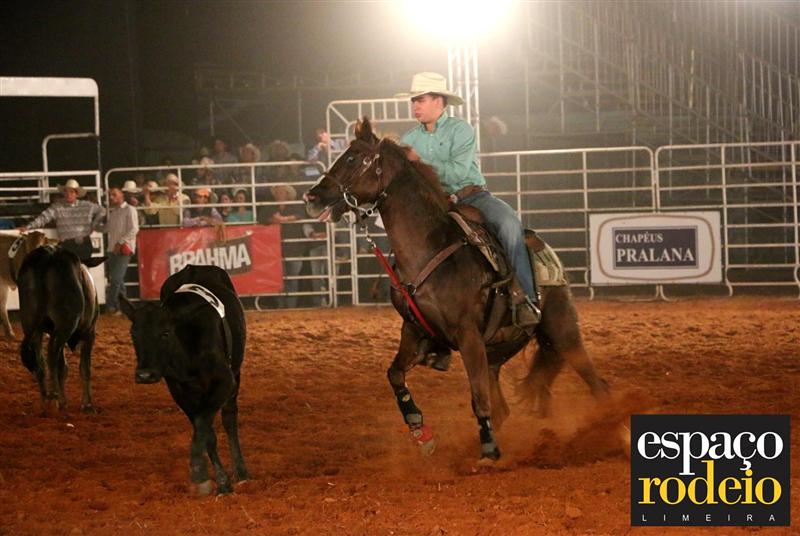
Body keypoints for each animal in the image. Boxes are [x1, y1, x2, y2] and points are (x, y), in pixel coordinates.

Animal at [17, 243, 105, 413]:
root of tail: (47, 256)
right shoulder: (89, 333)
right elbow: (84, 368)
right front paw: (87, 404)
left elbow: (63, 368)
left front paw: (64, 402)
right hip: (65, 324)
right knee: (51, 353)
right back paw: (54, 394)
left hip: (32, 326)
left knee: (40, 359)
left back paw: (45, 401)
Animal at [120, 264, 249, 496]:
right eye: (133, 334)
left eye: (165, 332)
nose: (144, 374)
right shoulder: (180, 392)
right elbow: (204, 431)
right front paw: (220, 481)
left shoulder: (224, 382)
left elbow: (204, 425)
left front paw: (198, 471)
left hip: (235, 374)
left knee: (229, 418)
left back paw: (241, 471)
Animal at [304, 117, 614, 463]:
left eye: (352, 158)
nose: (312, 197)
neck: (428, 248)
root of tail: (548, 253)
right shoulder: (414, 331)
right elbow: (395, 374)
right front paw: (419, 430)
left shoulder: (467, 334)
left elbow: (478, 397)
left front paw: (489, 450)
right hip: (497, 350)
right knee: (502, 406)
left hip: (562, 332)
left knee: (597, 386)